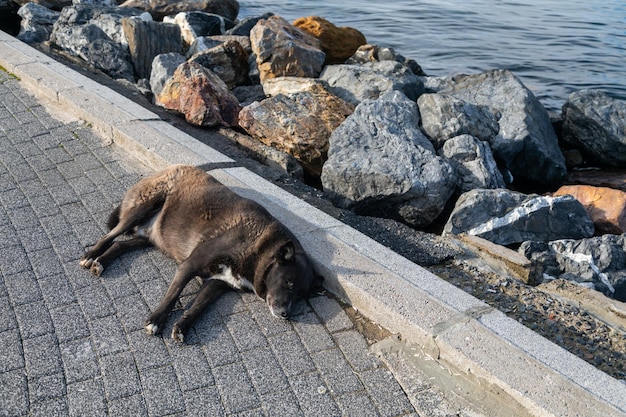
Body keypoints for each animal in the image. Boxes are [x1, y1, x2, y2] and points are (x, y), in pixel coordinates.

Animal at [79, 163, 316, 342]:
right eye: (288, 282)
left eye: (301, 294)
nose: (286, 314)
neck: (259, 249)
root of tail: (171, 167)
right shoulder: (190, 265)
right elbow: (173, 294)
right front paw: (156, 320)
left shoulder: (216, 284)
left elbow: (198, 308)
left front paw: (182, 326)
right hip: (143, 208)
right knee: (111, 236)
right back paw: (91, 255)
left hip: (150, 238)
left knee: (119, 245)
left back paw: (101, 261)